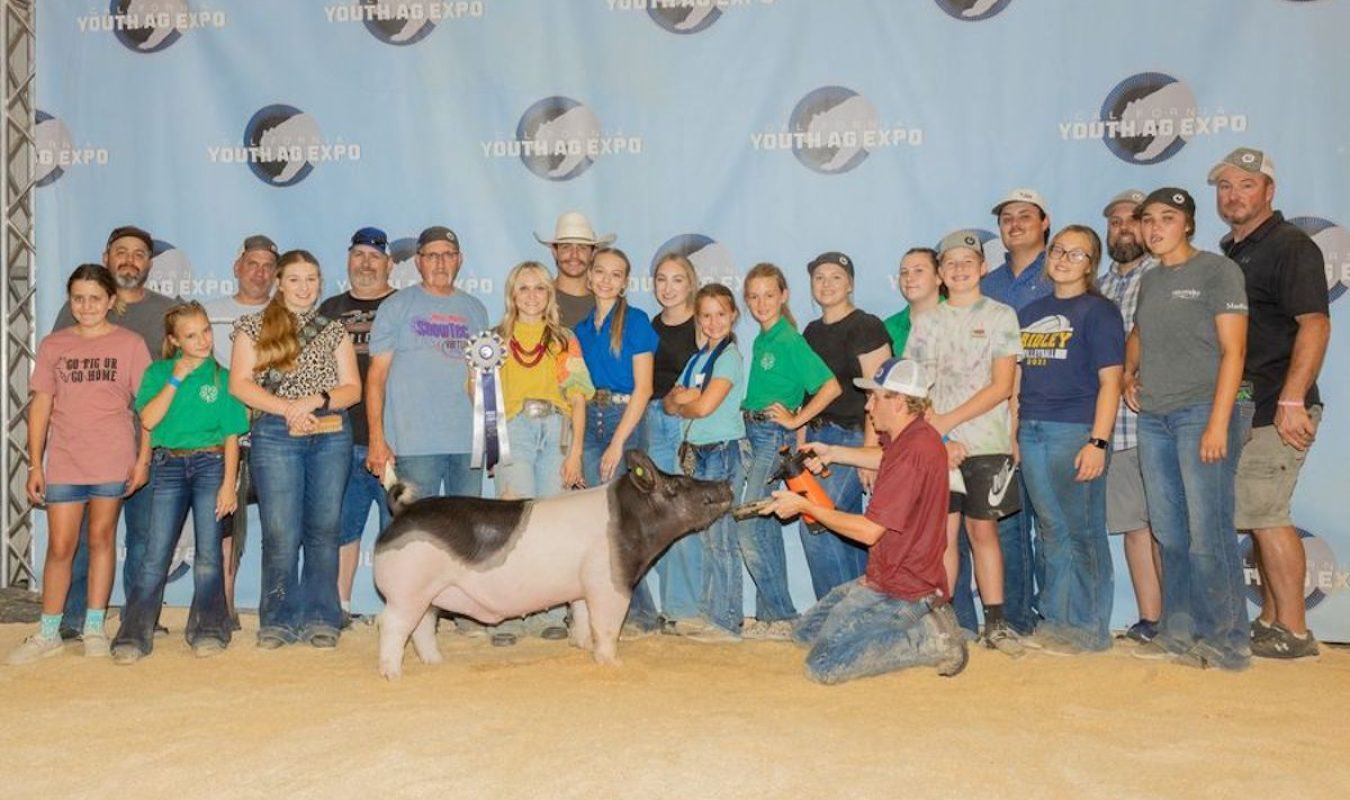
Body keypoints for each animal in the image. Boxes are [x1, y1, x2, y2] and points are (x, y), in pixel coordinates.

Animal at [369, 447, 734, 674]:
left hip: (428, 594)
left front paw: (581, 647)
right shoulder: (609, 582)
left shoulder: (582, 586)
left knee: (422, 628)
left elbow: (583, 617)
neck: (632, 521)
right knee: (392, 624)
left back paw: (435, 663)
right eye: (677, 484)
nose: (726, 484)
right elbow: (607, 625)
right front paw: (614, 664)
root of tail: (402, 512)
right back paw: (393, 674)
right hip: (407, 590)